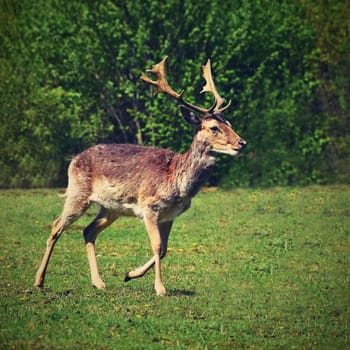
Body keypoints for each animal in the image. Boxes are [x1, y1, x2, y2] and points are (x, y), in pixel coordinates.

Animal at [33, 56, 246, 296]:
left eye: (229, 123)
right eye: (213, 127)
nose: (242, 143)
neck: (176, 182)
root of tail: (74, 159)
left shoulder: (170, 215)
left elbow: (164, 249)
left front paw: (129, 274)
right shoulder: (149, 206)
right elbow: (157, 245)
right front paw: (160, 288)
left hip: (111, 208)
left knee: (88, 231)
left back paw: (98, 282)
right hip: (78, 193)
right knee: (56, 226)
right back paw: (39, 281)